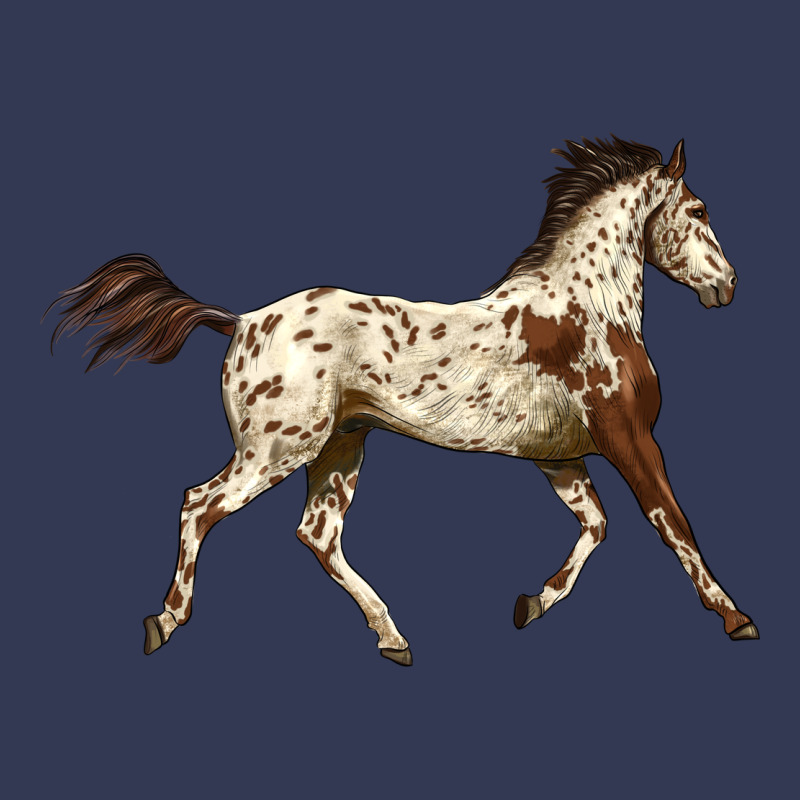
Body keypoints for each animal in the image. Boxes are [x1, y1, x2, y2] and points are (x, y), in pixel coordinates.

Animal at [47, 137, 759, 666]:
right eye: (698, 210)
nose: (727, 285)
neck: (585, 310)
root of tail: (241, 320)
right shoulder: (629, 441)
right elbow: (674, 526)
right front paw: (736, 617)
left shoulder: (560, 458)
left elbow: (597, 527)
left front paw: (531, 604)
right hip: (277, 449)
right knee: (199, 505)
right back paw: (165, 621)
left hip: (339, 449)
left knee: (317, 534)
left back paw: (393, 638)